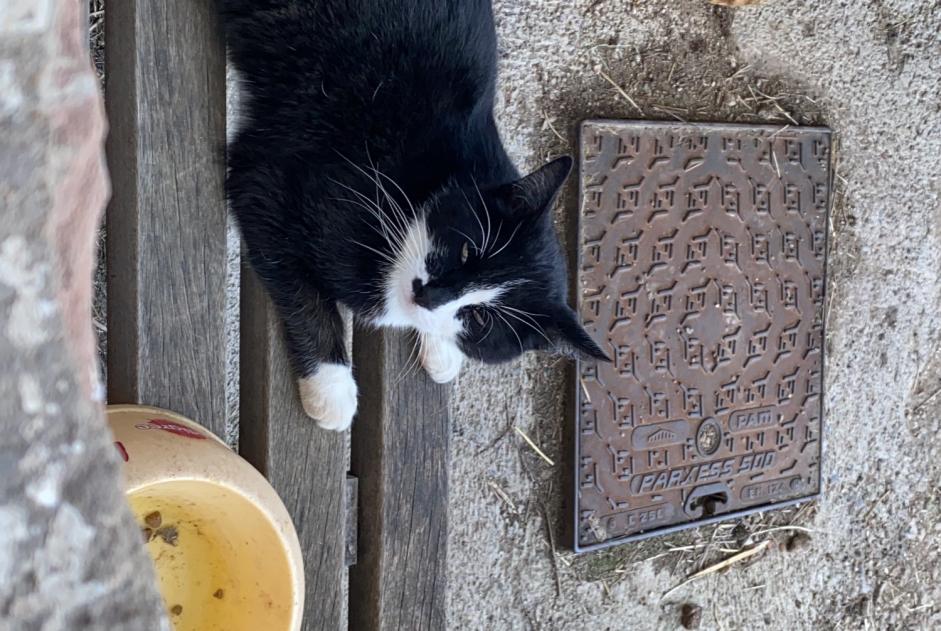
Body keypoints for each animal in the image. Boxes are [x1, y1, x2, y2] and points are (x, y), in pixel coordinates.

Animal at [222, 0, 604, 432]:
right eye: (468, 250)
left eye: (479, 318)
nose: (427, 294)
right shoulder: (269, 179)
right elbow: (304, 294)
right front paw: (331, 388)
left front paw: (442, 351)